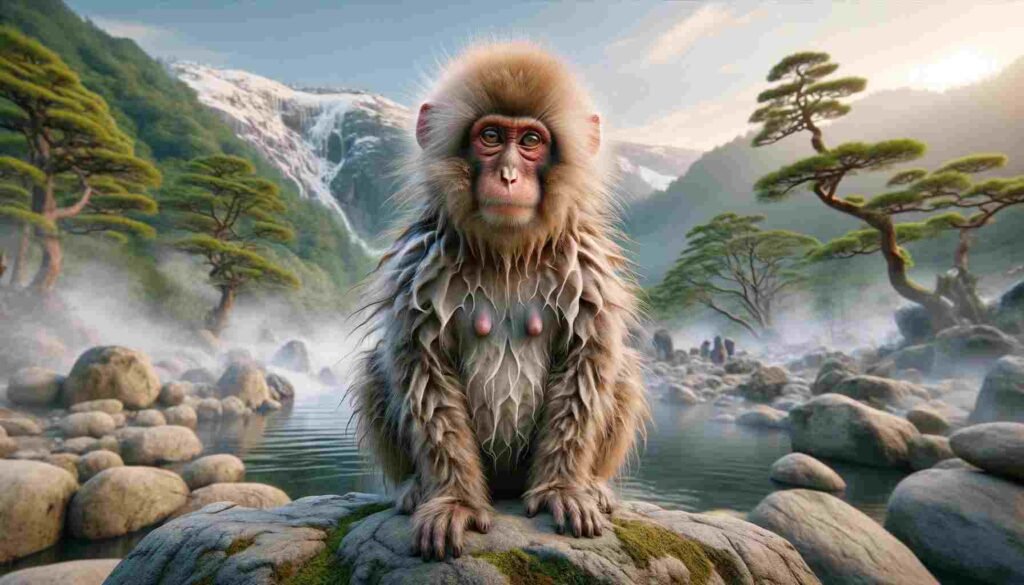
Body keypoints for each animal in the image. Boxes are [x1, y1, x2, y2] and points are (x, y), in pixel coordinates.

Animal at [350, 42, 649, 561]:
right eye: (490, 136)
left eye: (530, 141)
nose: (508, 175)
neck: (507, 253)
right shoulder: (420, 269)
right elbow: (425, 370)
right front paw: (454, 500)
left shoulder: (585, 269)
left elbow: (585, 366)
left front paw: (562, 490)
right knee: (375, 367)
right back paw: (414, 487)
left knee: (622, 368)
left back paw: (592, 484)